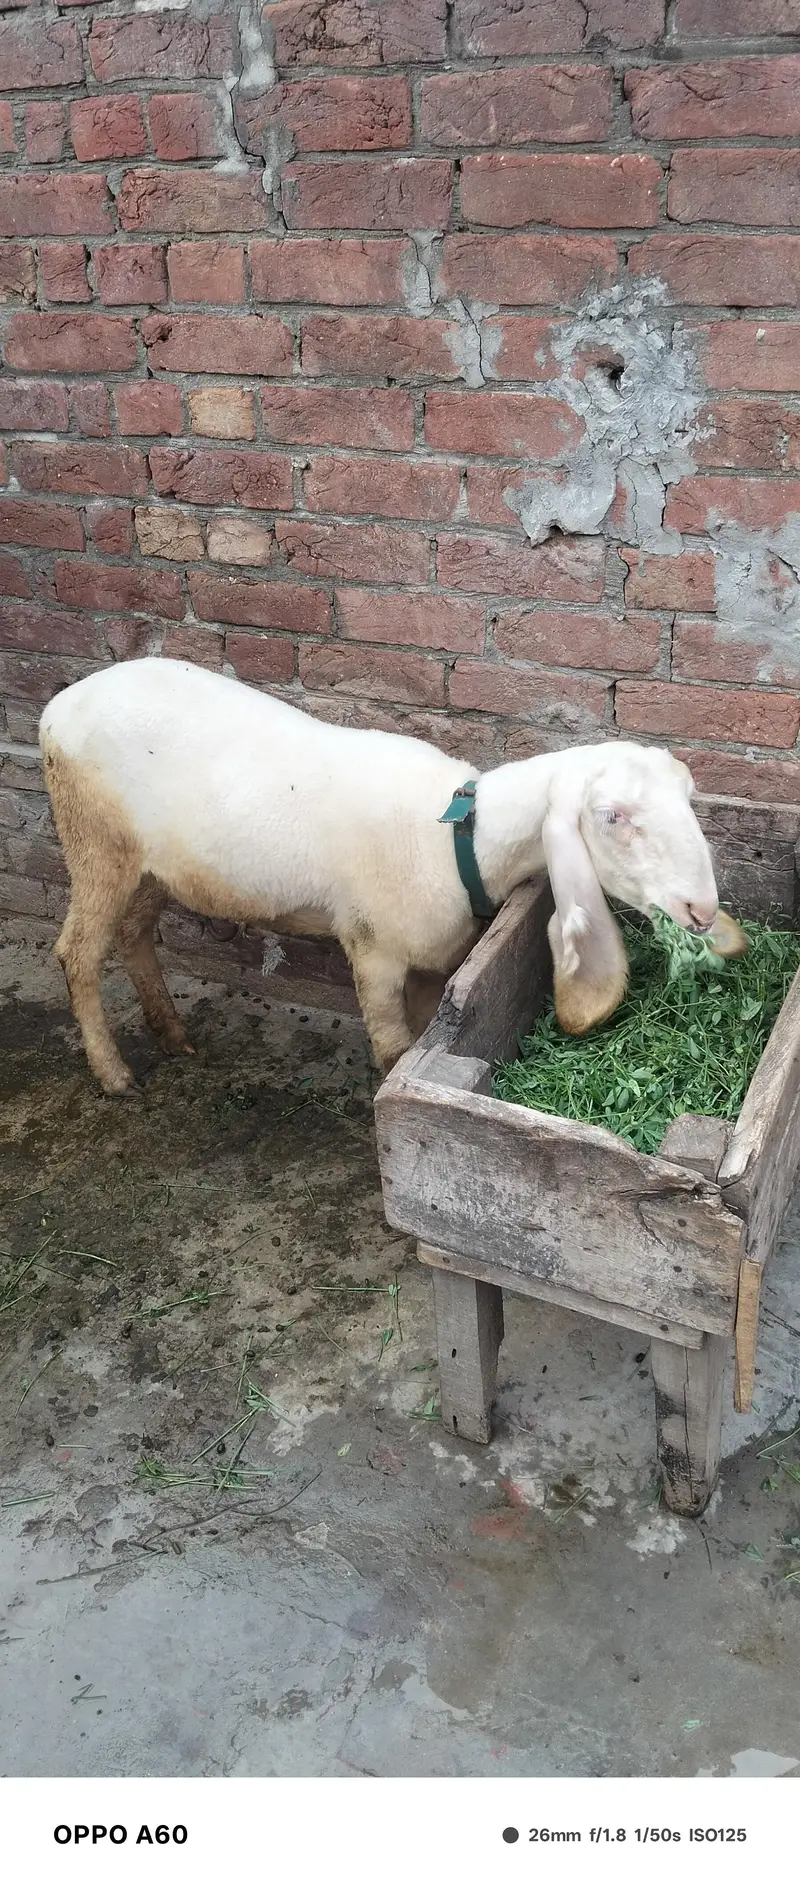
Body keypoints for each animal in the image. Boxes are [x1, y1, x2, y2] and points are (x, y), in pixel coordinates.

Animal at [39, 656, 728, 1096]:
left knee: (133, 933)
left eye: (687, 796)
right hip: (94, 840)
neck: (456, 842)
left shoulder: (432, 959)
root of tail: (59, 705)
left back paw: (171, 1032)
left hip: (150, 866)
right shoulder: (374, 949)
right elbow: (395, 1052)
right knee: (77, 952)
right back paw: (113, 1074)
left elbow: (424, 1035)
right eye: (613, 816)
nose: (702, 909)